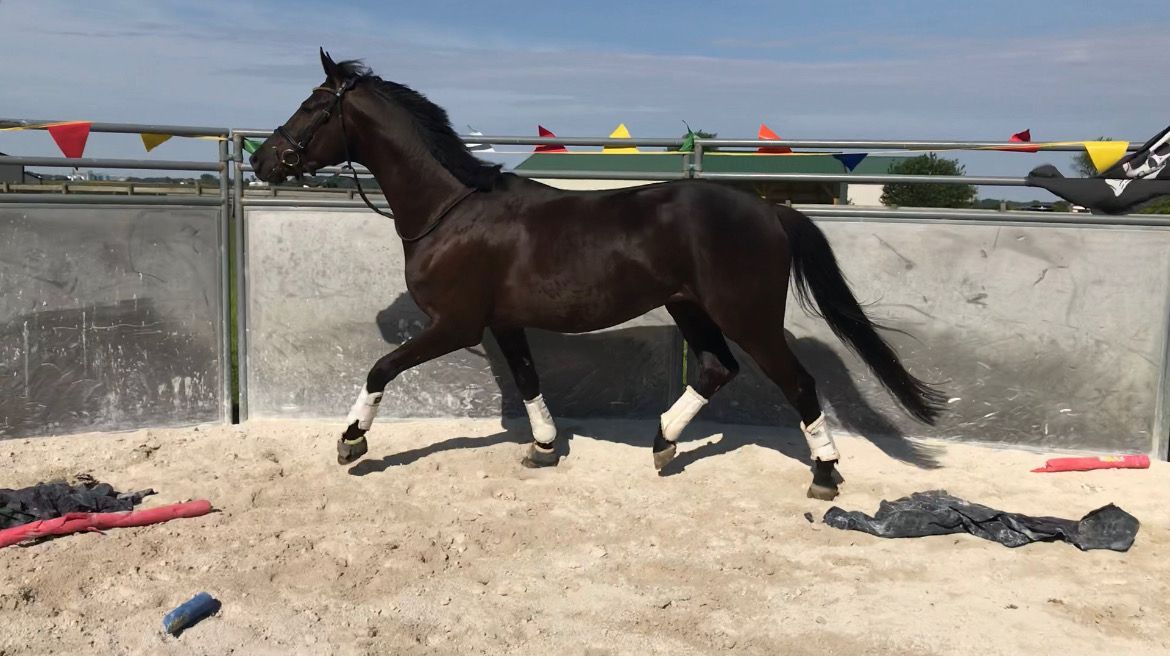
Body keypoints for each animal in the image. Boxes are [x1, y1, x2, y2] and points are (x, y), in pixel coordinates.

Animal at [249, 49, 946, 500]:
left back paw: (824, 476)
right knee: (717, 369)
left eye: (312, 105)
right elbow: (529, 382)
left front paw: (351, 442)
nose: (263, 160)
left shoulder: (455, 324)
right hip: (689, 306)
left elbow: (381, 369)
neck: (455, 208)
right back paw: (663, 442)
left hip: (747, 316)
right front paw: (543, 447)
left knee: (796, 383)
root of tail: (770, 210)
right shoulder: (503, 322)